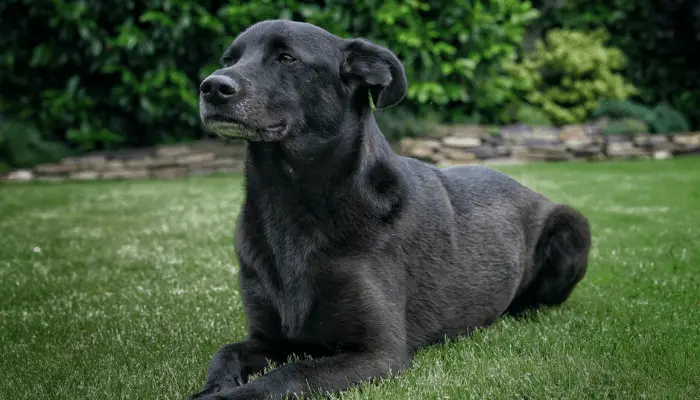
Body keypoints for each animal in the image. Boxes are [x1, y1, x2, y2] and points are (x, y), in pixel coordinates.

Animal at [190, 19, 592, 400]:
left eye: (286, 58)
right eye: (230, 58)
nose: (211, 87)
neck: (291, 200)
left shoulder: (378, 353)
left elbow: (288, 375)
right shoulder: (268, 339)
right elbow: (225, 352)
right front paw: (212, 387)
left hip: (573, 224)